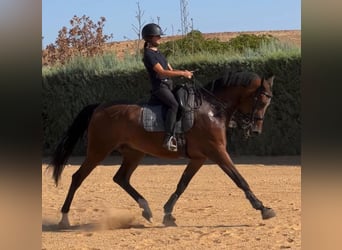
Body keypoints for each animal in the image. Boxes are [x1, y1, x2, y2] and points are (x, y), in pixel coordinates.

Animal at [49, 69, 276, 228]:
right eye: (260, 100)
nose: (256, 130)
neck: (211, 108)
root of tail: (98, 107)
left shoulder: (199, 158)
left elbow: (182, 184)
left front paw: (168, 214)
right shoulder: (217, 152)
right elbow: (239, 179)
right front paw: (263, 208)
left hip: (134, 153)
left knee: (121, 178)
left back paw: (147, 209)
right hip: (98, 151)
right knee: (78, 177)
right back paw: (64, 219)